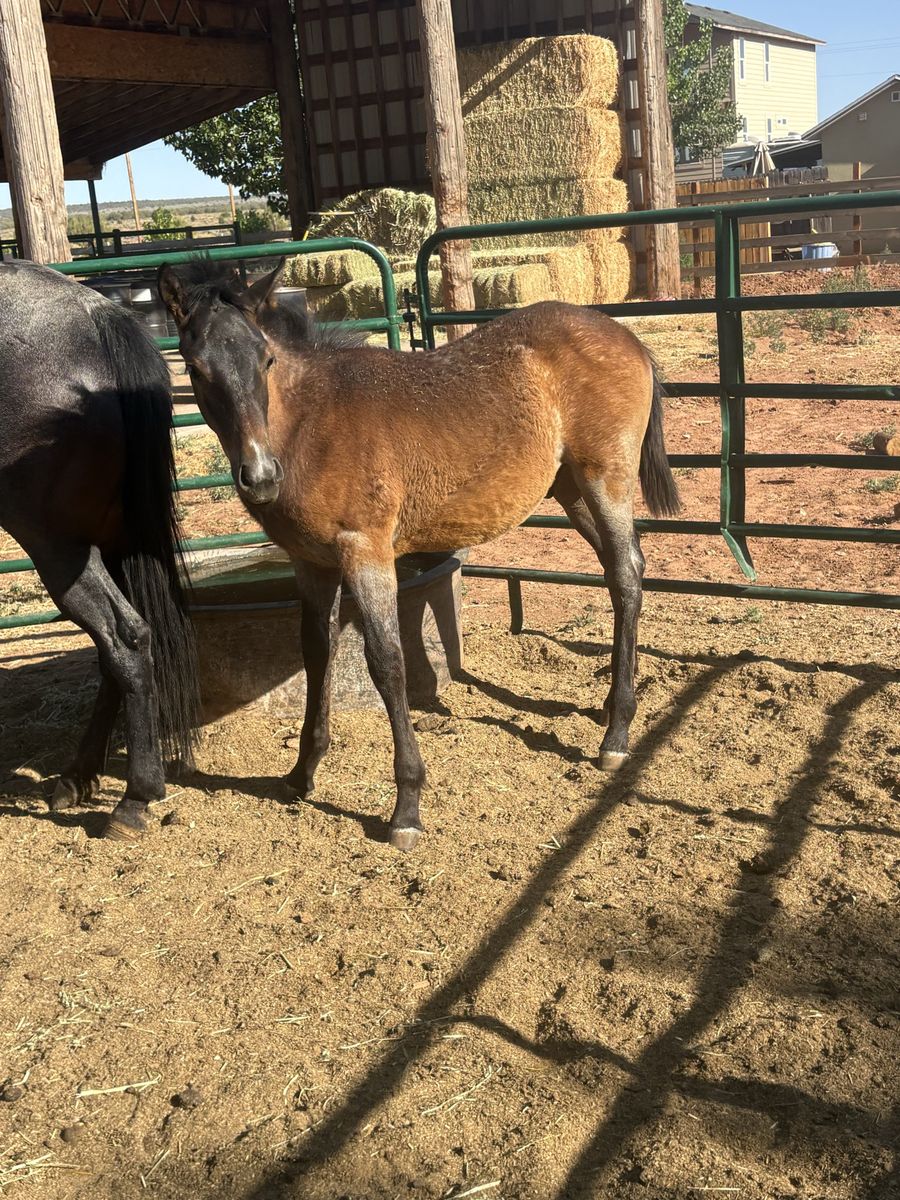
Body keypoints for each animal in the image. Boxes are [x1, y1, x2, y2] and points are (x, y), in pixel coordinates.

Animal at [0, 260, 198, 841]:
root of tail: (93, 314)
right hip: (112, 541)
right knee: (119, 646)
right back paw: (79, 776)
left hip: (58, 547)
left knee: (125, 639)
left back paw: (134, 799)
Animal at [158, 256, 680, 852]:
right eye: (194, 368)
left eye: (265, 359)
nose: (261, 475)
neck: (311, 425)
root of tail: (628, 338)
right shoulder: (310, 563)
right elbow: (316, 652)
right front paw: (302, 771)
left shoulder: (366, 551)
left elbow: (387, 663)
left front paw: (406, 806)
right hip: (570, 488)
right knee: (620, 573)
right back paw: (611, 709)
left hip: (604, 479)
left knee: (627, 573)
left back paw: (616, 733)